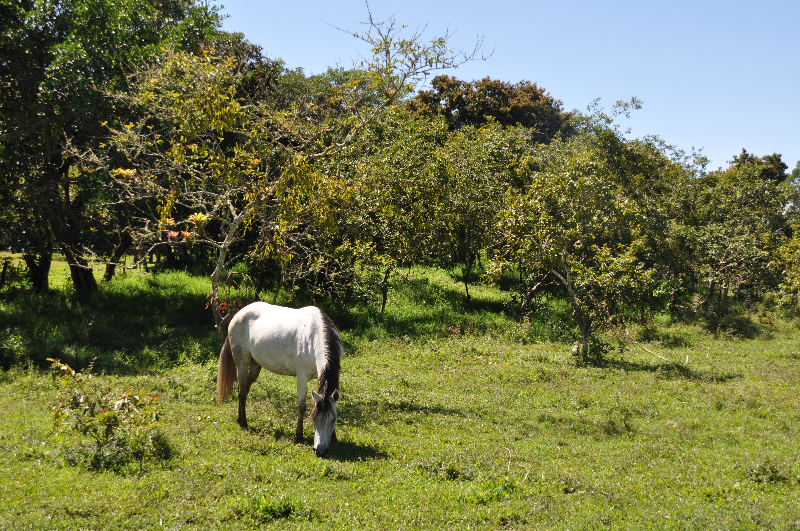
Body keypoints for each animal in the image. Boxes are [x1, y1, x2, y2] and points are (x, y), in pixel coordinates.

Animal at [216, 304, 340, 458]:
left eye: (333, 420)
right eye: (314, 418)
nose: (321, 451)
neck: (314, 336)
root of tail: (239, 313)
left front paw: (334, 437)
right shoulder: (302, 376)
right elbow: (302, 406)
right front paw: (299, 435)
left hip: (255, 365)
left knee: (244, 390)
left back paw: (240, 419)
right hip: (242, 362)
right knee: (242, 392)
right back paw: (244, 423)